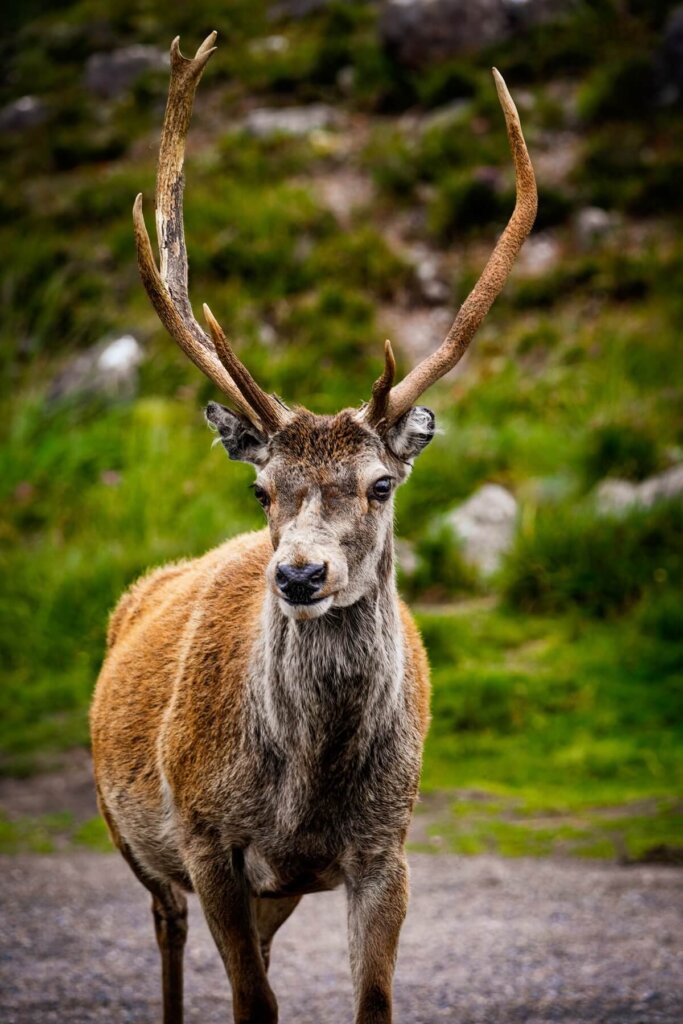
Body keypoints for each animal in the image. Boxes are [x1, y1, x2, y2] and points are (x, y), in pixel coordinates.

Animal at [89, 29, 540, 1024]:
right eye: (263, 491)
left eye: (379, 483)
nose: (300, 576)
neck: (302, 795)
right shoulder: (206, 839)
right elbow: (253, 1002)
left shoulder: (384, 850)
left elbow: (364, 1002)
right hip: (131, 836)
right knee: (168, 934)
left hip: (279, 887)